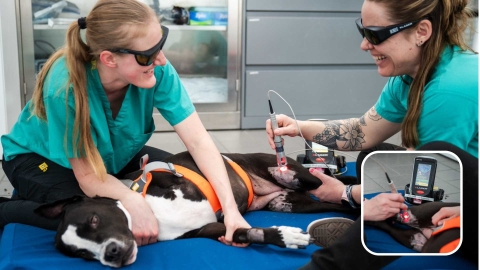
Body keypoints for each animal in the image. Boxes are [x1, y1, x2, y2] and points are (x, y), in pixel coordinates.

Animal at [35, 152, 358, 268]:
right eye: (82, 254)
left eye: (94, 219)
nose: (110, 254)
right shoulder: (212, 229)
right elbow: (247, 232)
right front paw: (284, 236)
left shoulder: (172, 177)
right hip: (294, 204)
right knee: (334, 202)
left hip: (296, 175)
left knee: (321, 180)